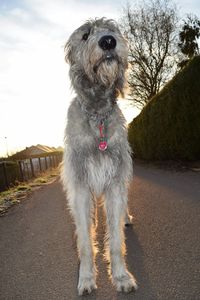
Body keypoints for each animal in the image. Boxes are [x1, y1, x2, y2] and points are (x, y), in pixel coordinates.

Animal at [62, 17, 138, 296]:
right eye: (85, 35)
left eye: (112, 30)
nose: (108, 41)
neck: (97, 113)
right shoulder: (81, 187)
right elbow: (85, 240)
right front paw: (86, 278)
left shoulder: (115, 182)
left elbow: (116, 239)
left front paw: (121, 276)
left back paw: (127, 218)